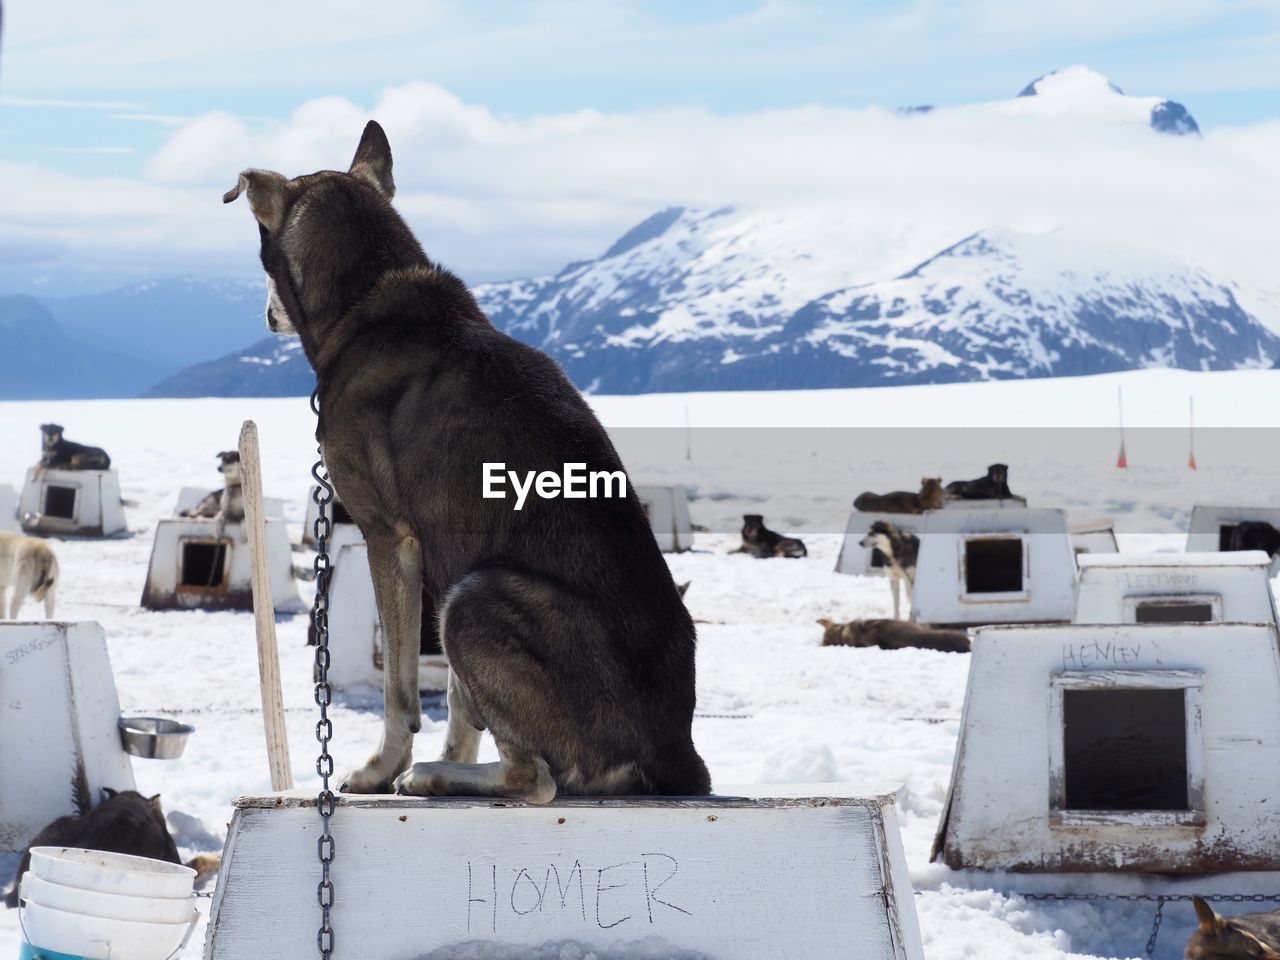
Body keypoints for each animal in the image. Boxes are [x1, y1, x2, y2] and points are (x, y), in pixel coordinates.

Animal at [230, 120, 711, 803]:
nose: (265, 314)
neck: (366, 299)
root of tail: (676, 756)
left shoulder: (390, 536)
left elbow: (400, 687)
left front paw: (381, 768)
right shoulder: (443, 549)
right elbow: (461, 702)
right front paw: (445, 752)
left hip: (474, 598)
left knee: (537, 780)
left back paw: (432, 775)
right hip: (463, 587)